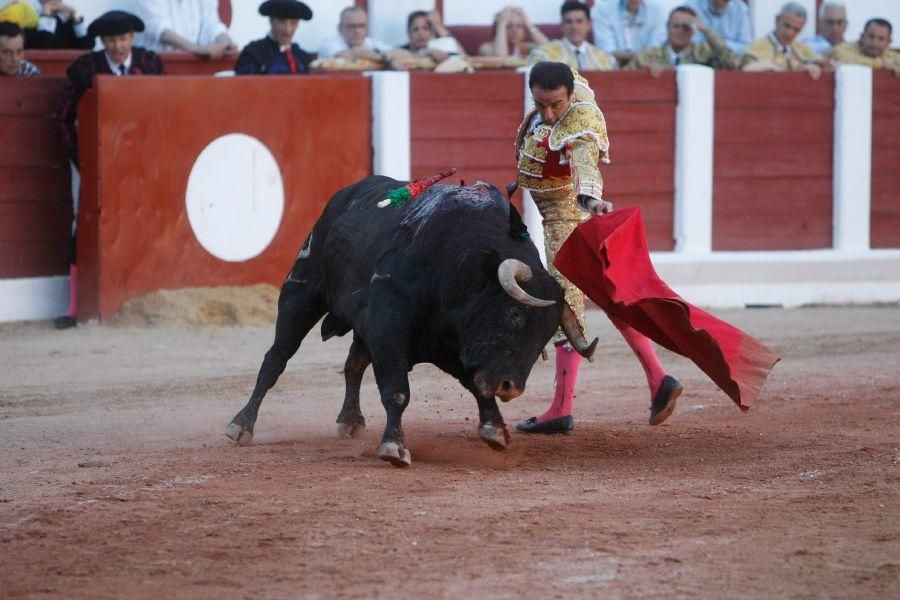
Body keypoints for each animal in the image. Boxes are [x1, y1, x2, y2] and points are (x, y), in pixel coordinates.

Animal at [225, 176, 596, 466]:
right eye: (514, 314)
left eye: (545, 336)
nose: (511, 387)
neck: (455, 266)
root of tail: (345, 195)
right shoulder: (389, 331)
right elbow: (397, 391)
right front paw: (394, 447)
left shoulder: (446, 344)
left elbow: (475, 385)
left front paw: (495, 431)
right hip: (301, 292)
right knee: (276, 359)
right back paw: (241, 425)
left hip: (360, 326)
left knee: (353, 364)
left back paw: (350, 420)